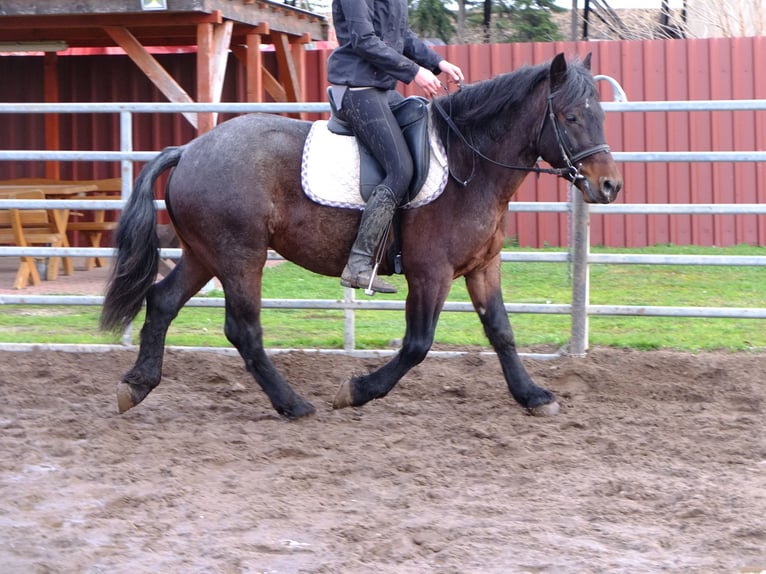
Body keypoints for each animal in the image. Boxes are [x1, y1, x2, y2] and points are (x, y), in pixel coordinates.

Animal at [99, 54, 624, 420]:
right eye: (572, 117)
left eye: (599, 115)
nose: (609, 187)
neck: (468, 163)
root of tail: (189, 150)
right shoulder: (430, 273)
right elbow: (417, 344)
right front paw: (356, 391)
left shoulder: (481, 267)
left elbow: (501, 332)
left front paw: (532, 395)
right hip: (240, 257)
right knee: (242, 329)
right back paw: (293, 404)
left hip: (204, 255)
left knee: (162, 301)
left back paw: (136, 386)